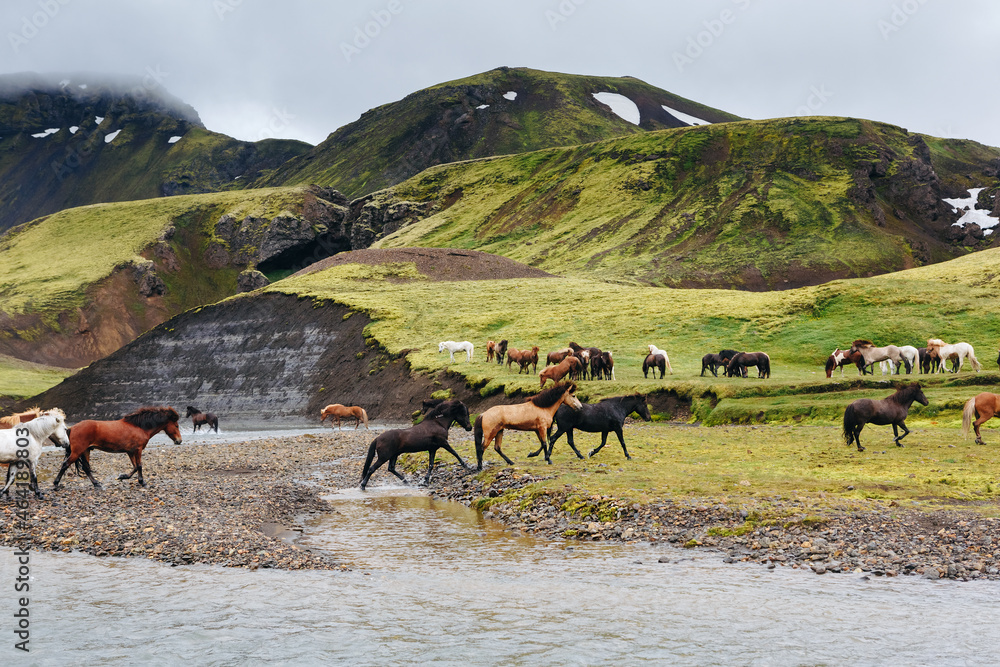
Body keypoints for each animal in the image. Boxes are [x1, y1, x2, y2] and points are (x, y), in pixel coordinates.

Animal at [52, 408, 183, 490]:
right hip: (78, 451)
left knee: (86, 468)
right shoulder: (138, 450)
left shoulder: (130, 451)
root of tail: (71, 428)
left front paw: (123, 476)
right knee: (66, 464)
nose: (179, 441)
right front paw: (142, 482)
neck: (139, 427)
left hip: (86, 451)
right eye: (176, 425)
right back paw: (56, 484)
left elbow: (135, 467)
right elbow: (139, 466)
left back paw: (97, 484)